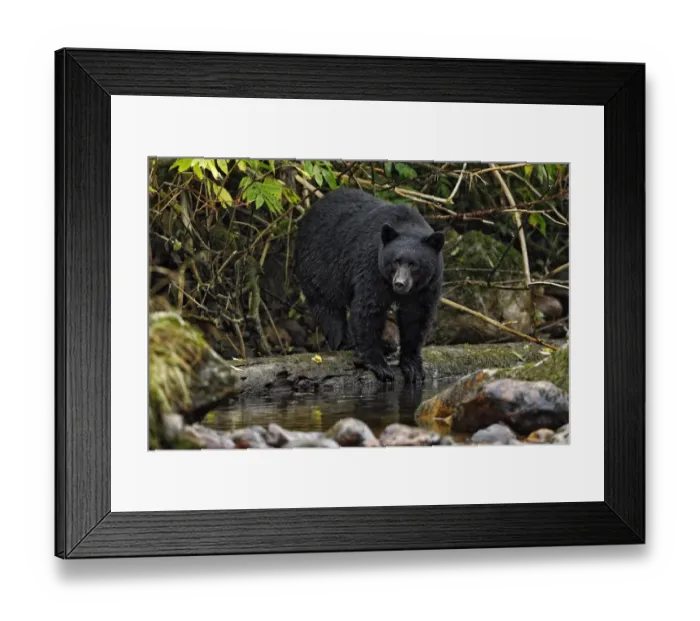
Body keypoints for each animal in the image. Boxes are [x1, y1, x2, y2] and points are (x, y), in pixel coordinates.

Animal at [294, 188, 444, 383]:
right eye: (395, 261)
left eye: (414, 264)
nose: (400, 284)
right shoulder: (372, 266)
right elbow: (368, 309)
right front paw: (380, 365)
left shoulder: (428, 285)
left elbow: (417, 316)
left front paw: (413, 366)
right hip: (319, 264)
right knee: (328, 306)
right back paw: (346, 341)